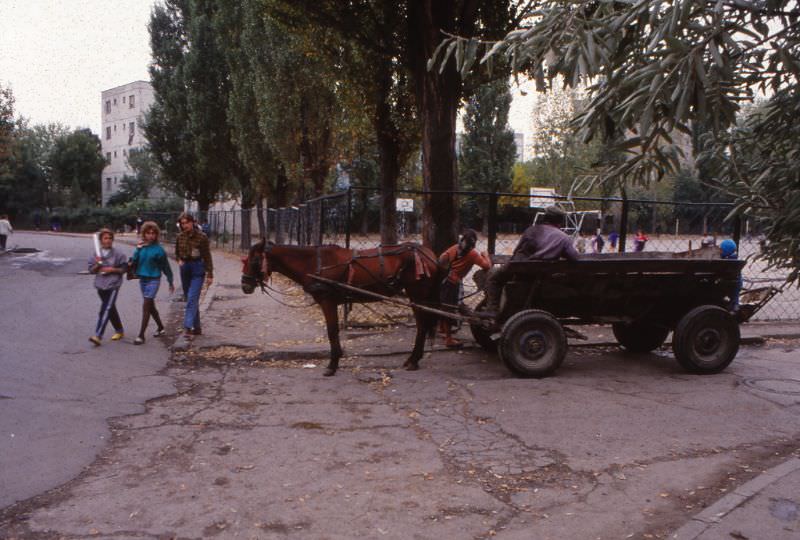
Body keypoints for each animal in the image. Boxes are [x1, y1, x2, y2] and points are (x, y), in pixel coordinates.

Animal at [242, 240, 444, 376]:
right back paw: (413, 359)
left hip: (417, 294)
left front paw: (332, 365)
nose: (245, 285)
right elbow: (333, 332)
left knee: (422, 326)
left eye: (254, 261)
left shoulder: (328, 302)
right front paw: (336, 360)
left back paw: (414, 360)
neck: (315, 263)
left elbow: (332, 331)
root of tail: (428, 253)